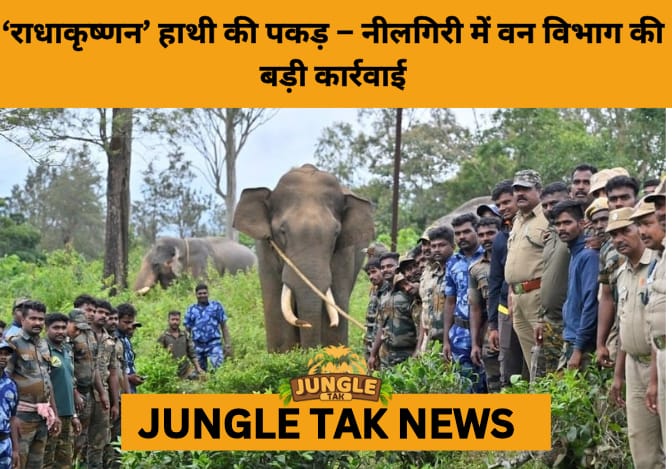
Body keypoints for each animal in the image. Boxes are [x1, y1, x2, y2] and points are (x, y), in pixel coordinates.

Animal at [233, 164, 375, 352]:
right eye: (282, 231)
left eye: (336, 233)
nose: (305, 323)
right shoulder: (265, 249)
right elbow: (276, 306)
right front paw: (283, 355)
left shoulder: (344, 253)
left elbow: (336, 301)